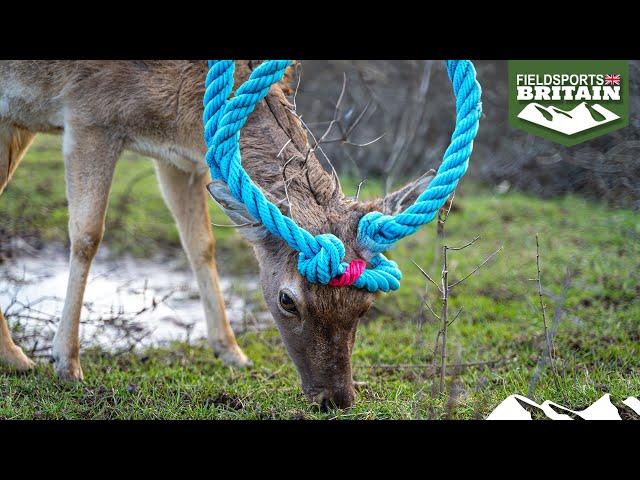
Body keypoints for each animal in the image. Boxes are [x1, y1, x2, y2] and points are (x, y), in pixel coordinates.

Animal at [0, 61, 432, 408]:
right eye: (287, 300)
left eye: (367, 303)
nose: (336, 399)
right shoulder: (89, 113)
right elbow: (87, 235)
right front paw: (67, 363)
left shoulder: (180, 158)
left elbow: (201, 245)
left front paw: (231, 351)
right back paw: (24, 357)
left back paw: (14, 357)